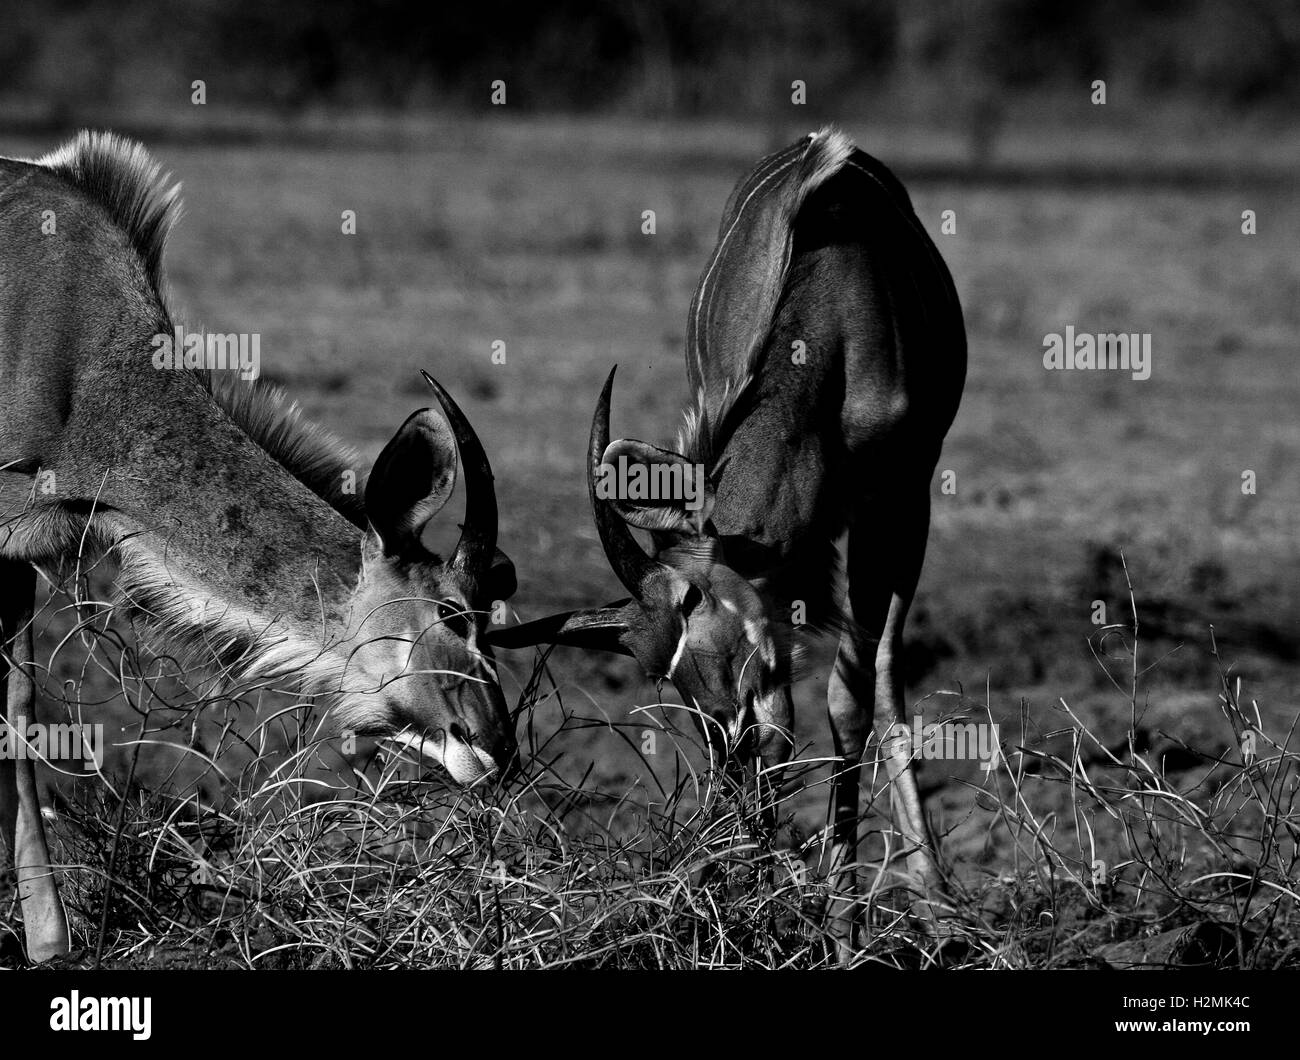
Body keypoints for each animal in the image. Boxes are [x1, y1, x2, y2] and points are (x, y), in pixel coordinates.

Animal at [491, 128, 972, 957]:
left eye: (700, 615)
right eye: (663, 674)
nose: (728, 747)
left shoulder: (897, 495)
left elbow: (852, 691)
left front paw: (846, 916)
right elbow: (801, 709)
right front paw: (774, 896)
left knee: (879, 666)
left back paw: (927, 896)